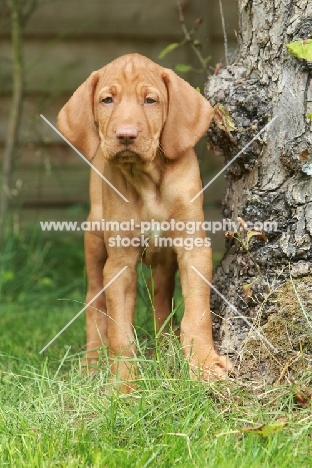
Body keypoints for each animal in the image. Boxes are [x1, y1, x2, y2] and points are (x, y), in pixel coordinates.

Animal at [57, 54, 232, 392]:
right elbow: (120, 332)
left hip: (163, 262)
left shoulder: (193, 248)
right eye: (107, 100)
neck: (147, 181)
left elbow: (197, 314)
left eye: (150, 100)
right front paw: (124, 384)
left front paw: (203, 365)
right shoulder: (120, 264)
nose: (125, 135)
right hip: (94, 240)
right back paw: (92, 362)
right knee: (94, 301)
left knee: (160, 299)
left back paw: (165, 347)